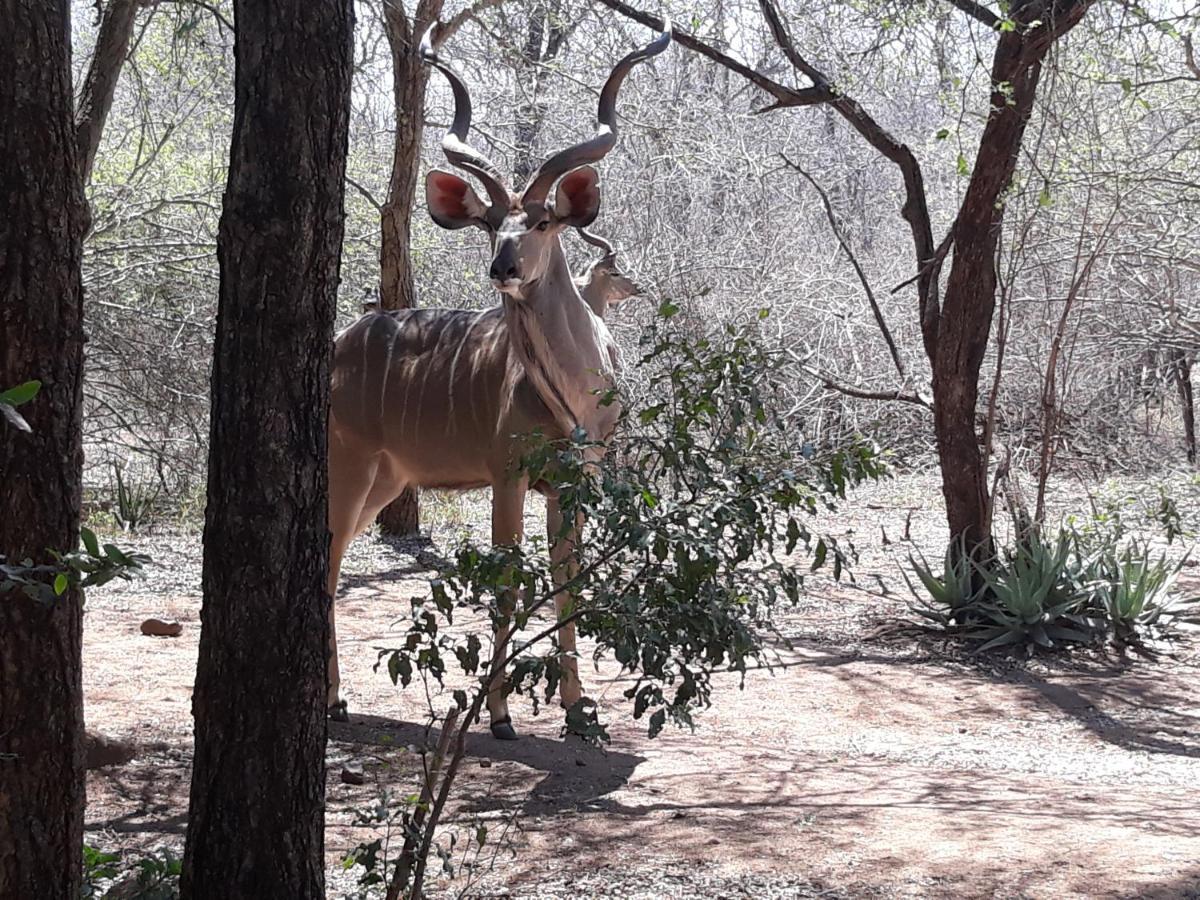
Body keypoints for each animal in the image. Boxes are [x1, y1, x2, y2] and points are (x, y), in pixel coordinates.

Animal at [324, 21, 672, 739]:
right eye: (489, 222)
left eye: (541, 220)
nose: (503, 268)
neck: (572, 397)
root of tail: (338, 345)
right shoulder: (507, 474)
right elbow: (509, 586)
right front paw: (503, 715)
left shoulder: (573, 482)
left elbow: (567, 585)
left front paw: (576, 709)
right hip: (348, 466)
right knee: (325, 559)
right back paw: (333, 699)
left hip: (386, 480)